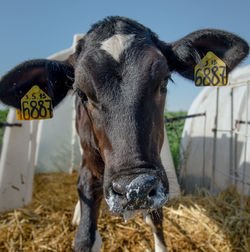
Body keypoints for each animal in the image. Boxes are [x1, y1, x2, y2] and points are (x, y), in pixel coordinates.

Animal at [0, 16, 248, 251]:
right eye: (80, 92)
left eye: (164, 80)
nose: (134, 188)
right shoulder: (91, 166)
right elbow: (85, 235)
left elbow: (156, 218)